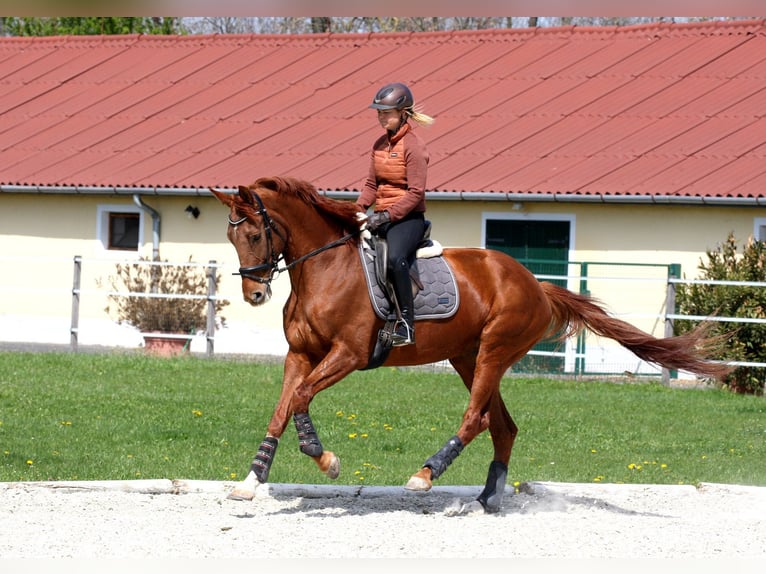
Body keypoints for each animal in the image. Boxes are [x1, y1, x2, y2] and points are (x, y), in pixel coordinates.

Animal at [210, 176, 731, 513]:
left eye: (254, 233)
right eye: (232, 238)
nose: (254, 295)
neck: (324, 270)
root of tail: (536, 283)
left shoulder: (347, 356)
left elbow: (299, 399)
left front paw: (327, 459)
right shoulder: (301, 356)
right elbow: (282, 408)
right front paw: (250, 481)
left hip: (495, 352)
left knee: (477, 418)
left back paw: (425, 475)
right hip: (467, 357)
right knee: (503, 426)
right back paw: (487, 499)